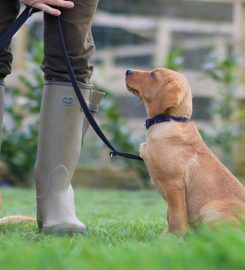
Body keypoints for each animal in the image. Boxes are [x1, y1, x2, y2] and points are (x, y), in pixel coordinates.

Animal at [125, 68, 245, 236]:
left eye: (153, 75)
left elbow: (176, 215)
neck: (169, 119)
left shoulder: (173, 184)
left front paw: (174, 236)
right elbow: (170, 214)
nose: (127, 71)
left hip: (210, 208)